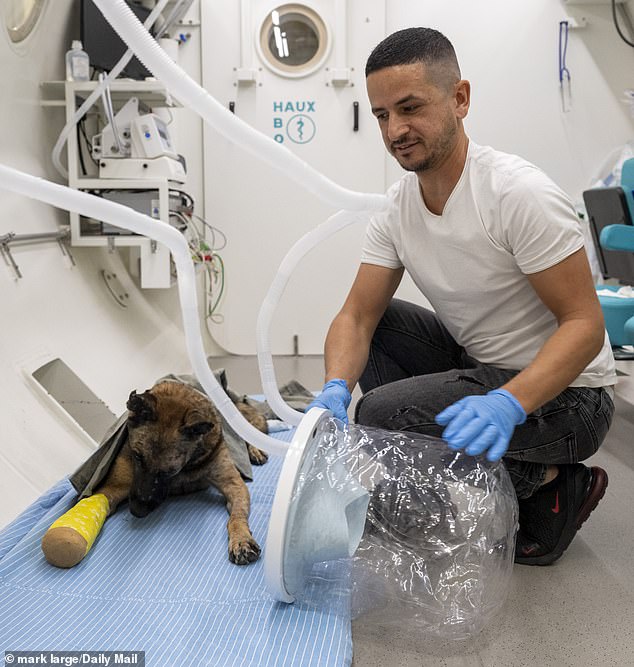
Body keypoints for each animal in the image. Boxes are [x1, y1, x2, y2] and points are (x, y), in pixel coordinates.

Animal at [42, 384, 266, 568]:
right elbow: (99, 501)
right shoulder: (116, 487)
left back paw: (256, 450)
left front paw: (241, 540)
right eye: (137, 456)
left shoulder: (233, 484)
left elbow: (236, 517)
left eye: (170, 471)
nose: (136, 512)